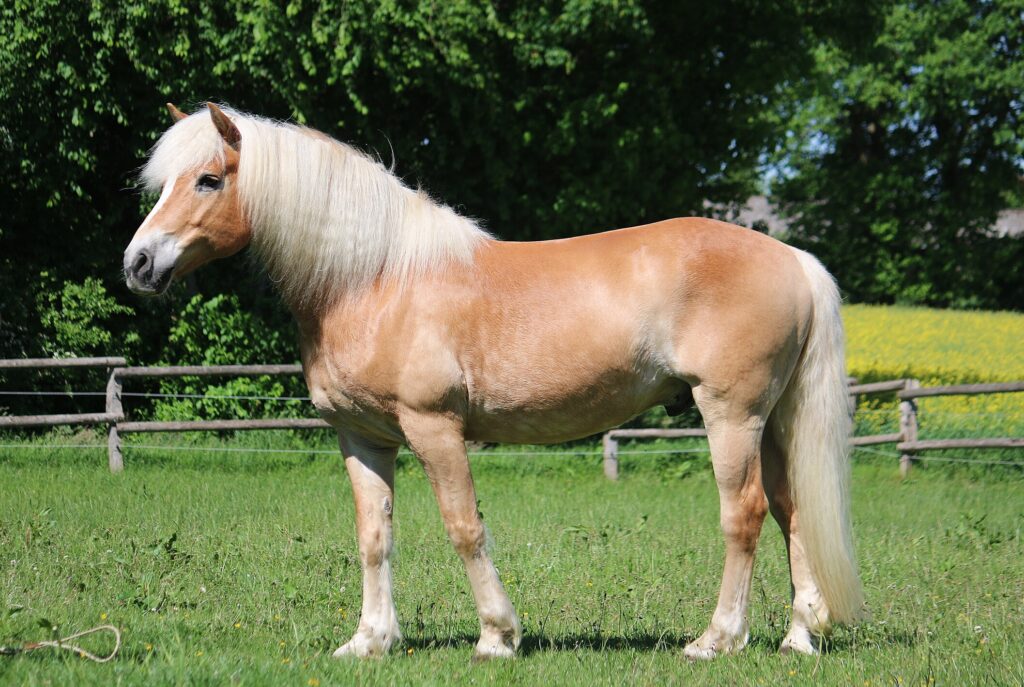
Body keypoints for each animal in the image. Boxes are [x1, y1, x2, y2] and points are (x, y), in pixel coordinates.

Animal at [123, 102, 863, 661]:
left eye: (209, 179)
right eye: (164, 181)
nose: (138, 263)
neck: (374, 279)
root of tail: (792, 258)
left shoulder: (434, 427)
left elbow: (464, 527)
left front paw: (496, 636)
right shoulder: (362, 437)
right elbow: (373, 536)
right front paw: (369, 641)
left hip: (730, 413)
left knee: (745, 514)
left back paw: (717, 639)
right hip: (775, 419)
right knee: (793, 510)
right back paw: (799, 637)